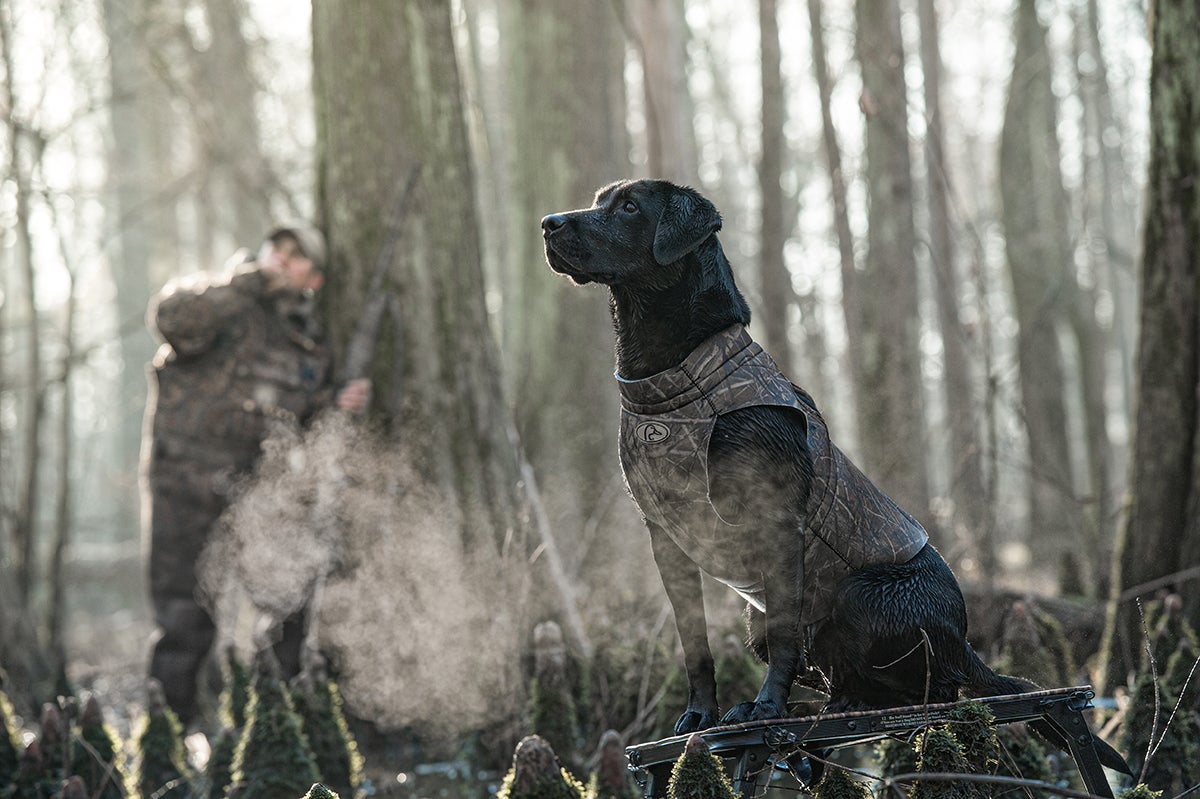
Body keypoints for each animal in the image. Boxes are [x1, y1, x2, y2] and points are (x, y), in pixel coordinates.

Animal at [547, 178, 1132, 767]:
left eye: (628, 207)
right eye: (599, 200)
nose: (549, 224)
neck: (673, 379)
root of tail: (965, 640)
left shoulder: (777, 520)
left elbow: (785, 638)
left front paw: (766, 710)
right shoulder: (664, 539)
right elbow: (696, 645)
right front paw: (700, 716)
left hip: (862, 595)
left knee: (925, 694)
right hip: (761, 621)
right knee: (856, 684)